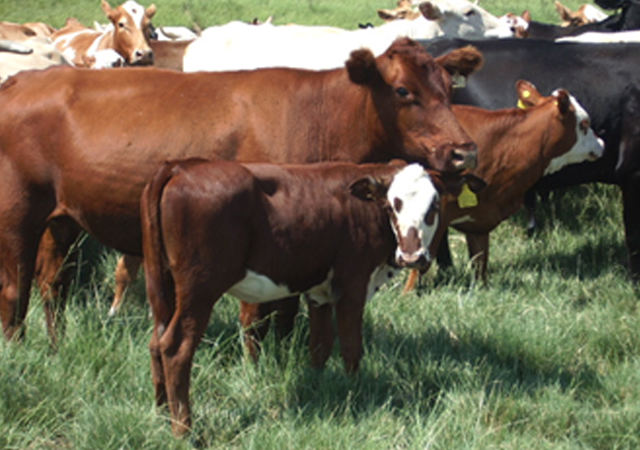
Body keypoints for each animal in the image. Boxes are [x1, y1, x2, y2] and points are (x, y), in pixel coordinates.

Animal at [0, 38, 482, 342]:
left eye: (448, 88)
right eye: (402, 90)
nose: (464, 152)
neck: (320, 116)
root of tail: (24, 80)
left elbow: (286, 313)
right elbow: (256, 318)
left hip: (62, 219)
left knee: (52, 284)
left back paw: (56, 345)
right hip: (18, 215)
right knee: (16, 288)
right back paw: (19, 348)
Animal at [139, 159, 480, 436]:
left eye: (434, 206)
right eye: (392, 205)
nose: (412, 256)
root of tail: (182, 166)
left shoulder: (320, 292)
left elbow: (320, 346)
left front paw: (318, 388)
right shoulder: (353, 282)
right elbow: (351, 347)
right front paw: (356, 393)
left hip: (161, 284)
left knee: (156, 341)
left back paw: (161, 414)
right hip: (200, 288)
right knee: (175, 347)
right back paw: (183, 430)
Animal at [402, 80, 604, 292]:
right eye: (584, 123)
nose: (601, 143)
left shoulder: (479, 220)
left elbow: (480, 263)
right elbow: (421, 261)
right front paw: (408, 294)